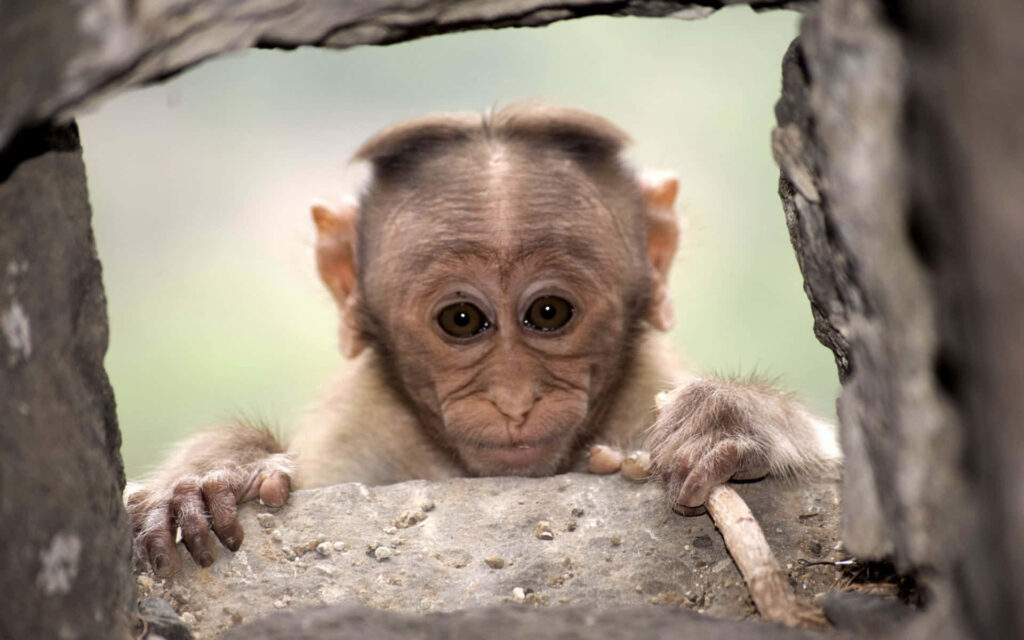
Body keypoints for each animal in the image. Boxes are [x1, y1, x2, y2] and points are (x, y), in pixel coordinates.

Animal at [126, 104, 841, 577]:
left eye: (549, 313)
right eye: (463, 321)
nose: (513, 400)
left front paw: (732, 417)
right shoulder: (351, 436)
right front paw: (213, 475)